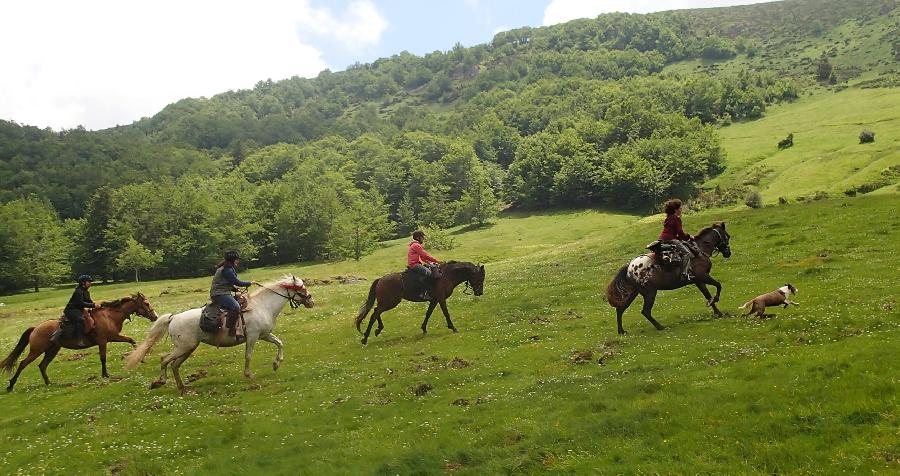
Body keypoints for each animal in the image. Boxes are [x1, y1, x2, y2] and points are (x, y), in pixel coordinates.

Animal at [0, 292, 159, 392]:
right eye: (146, 303)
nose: (155, 317)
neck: (109, 316)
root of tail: (36, 328)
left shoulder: (113, 337)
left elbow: (131, 340)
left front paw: (141, 357)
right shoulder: (104, 340)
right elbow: (103, 358)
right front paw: (105, 375)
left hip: (52, 350)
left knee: (42, 365)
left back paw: (49, 383)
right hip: (37, 350)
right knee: (23, 364)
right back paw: (10, 386)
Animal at [125, 276, 312, 394]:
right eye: (301, 288)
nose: (311, 301)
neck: (262, 306)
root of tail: (173, 318)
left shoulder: (265, 335)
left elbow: (279, 343)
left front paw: (276, 364)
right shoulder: (253, 337)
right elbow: (248, 355)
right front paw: (249, 375)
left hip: (188, 348)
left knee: (174, 365)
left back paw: (182, 388)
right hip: (184, 347)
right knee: (165, 359)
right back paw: (160, 382)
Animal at [356, 262, 488, 344]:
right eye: (481, 277)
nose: (480, 292)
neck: (446, 276)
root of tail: (380, 280)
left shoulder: (434, 300)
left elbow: (428, 314)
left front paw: (424, 329)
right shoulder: (441, 299)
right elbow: (446, 313)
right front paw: (453, 328)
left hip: (387, 302)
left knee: (375, 312)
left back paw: (377, 330)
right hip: (390, 302)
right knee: (375, 313)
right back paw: (366, 338)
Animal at [604, 223, 732, 334]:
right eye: (727, 236)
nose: (728, 253)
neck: (699, 250)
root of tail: (630, 267)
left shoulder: (698, 281)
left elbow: (707, 294)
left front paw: (718, 312)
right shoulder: (703, 276)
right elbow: (718, 285)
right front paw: (716, 301)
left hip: (633, 293)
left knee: (620, 309)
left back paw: (621, 331)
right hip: (650, 293)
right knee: (645, 311)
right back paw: (660, 327)